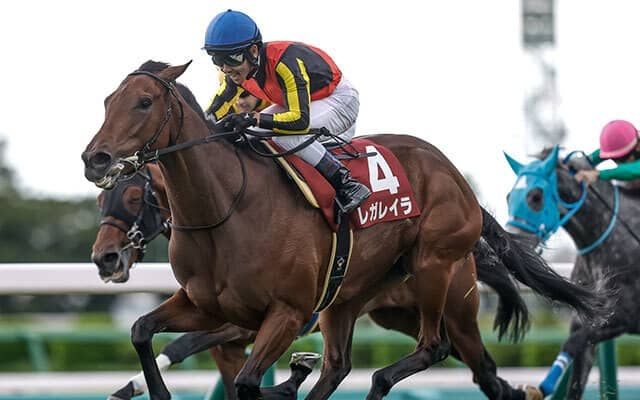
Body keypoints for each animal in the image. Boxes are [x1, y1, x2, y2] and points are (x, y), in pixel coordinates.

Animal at [93, 162, 534, 400]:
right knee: (473, 365)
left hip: (454, 311)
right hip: (399, 316)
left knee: (480, 364)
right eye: (100, 200)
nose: (104, 258)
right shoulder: (232, 334)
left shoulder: (251, 321)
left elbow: (183, 346)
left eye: (134, 197)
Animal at [504, 145, 634, 399]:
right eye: (508, 196)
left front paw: (540, 388)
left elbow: (572, 343)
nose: (510, 243)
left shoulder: (624, 316)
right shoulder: (587, 320)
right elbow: (575, 377)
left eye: (536, 196)